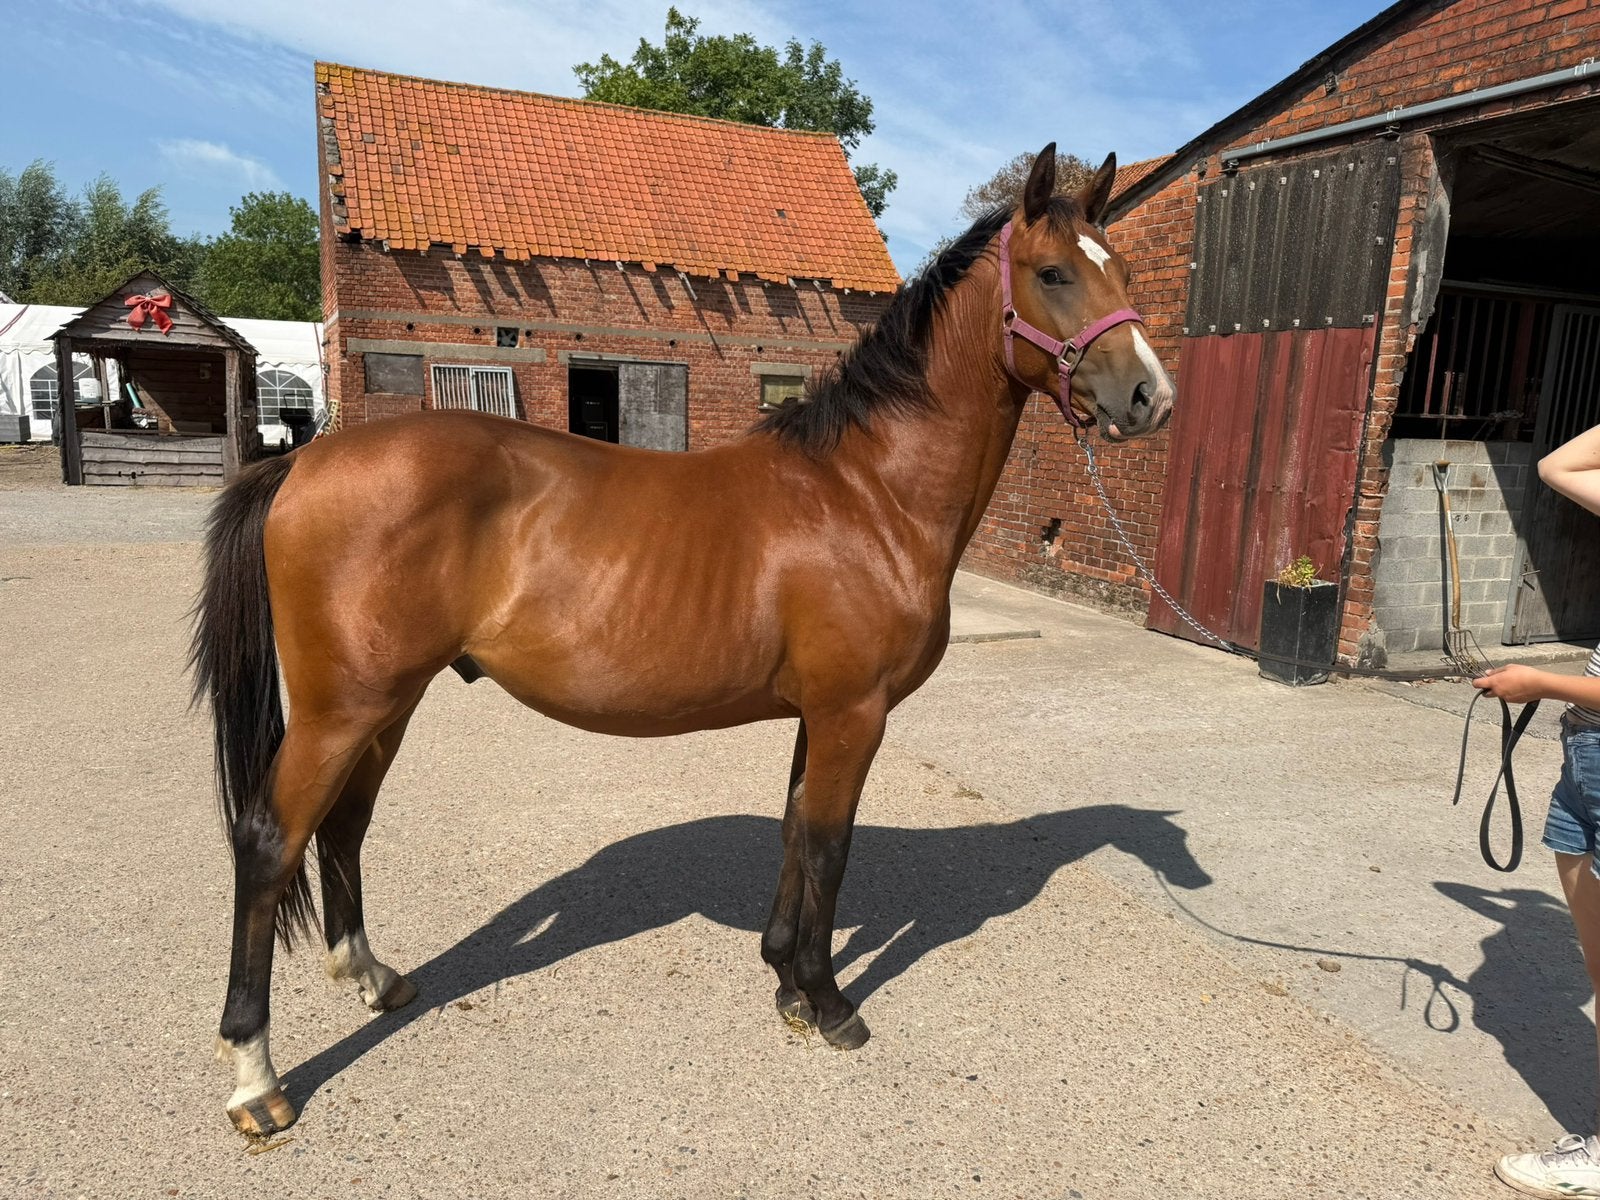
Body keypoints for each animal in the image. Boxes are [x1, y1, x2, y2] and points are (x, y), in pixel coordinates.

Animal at [191, 144, 1175, 1136]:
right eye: (1052, 273)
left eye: (1125, 272)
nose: (1150, 398)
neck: (866, 491)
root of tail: (302, 461)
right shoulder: (854, 714)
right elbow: (831, 848)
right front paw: (829, 1003)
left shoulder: (820, 713)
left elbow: (795, 830)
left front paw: (784, 981)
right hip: (342, 708)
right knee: (270, 841)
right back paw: (256, 1078)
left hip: (385, 704)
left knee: (344, 825)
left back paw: (372, 977)